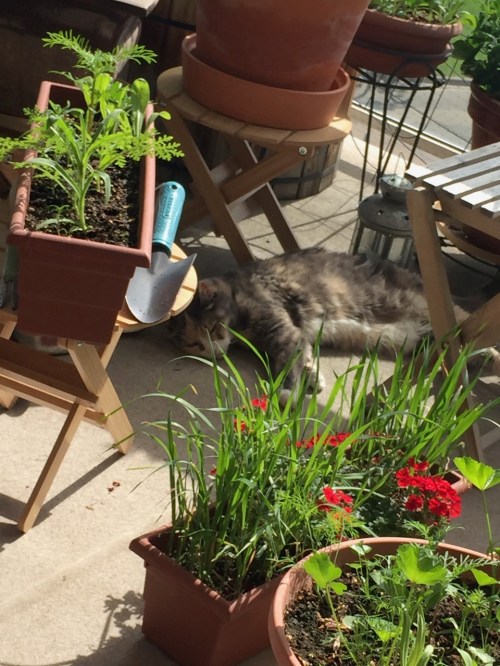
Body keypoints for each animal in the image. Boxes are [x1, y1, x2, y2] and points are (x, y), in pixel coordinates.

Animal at [167, 247, 470, 392]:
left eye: (213, 328)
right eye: (193, 345)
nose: (213, 352)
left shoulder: (280, 327)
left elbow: (287, 361)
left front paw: (287, 392)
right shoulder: (295, 334)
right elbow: (303, 353)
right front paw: (313, 376)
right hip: (415, 338)